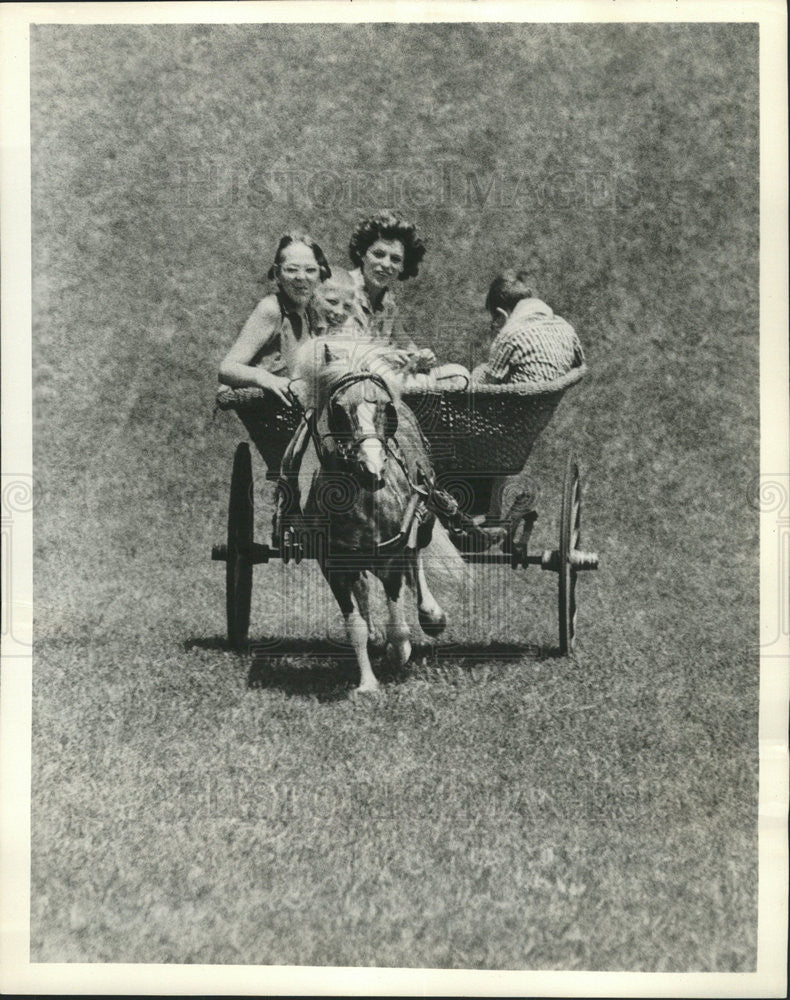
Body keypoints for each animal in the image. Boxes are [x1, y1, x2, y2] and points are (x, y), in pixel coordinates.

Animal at [290, 336, 452, 696]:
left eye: (384, 407)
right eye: (338, 410)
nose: (373, 469)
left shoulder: (390, 557)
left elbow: (399, 620)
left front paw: (398, 651)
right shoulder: (333, 566)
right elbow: (356, 626)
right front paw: (367, 683)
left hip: (424, 518)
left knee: (415, 557)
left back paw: (431, 615)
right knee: (364, 586)